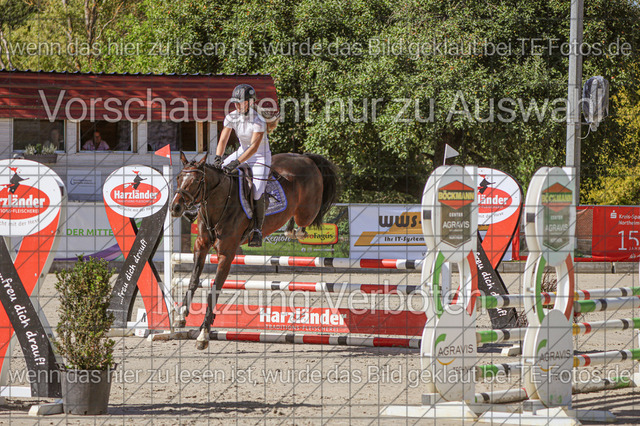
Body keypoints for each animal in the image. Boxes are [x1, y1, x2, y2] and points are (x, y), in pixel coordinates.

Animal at [171, 151, 340, 349]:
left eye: (196, 180)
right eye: (179, 177)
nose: (175, 208)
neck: (219, 202)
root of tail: (305, 157)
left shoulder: (226, 254)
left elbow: (214, 289)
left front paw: (203, 334)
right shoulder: (200, 246)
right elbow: (193, 280)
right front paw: (180, 316)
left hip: (306, 211)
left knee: (307, 220)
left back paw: (294, 231)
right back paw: (290, 230)